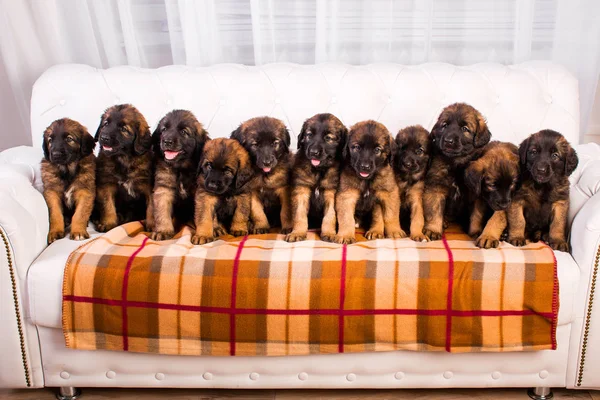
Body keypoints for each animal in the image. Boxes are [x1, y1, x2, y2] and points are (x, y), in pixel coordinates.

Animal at [94, 104, 155, 233]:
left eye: (123, 129)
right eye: (105, 124)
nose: (104, 137)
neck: (123, 159)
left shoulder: (149, 187)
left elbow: (152, 207)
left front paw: (153, 225)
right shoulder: (106, 184)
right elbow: (107, 205)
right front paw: (108, 223)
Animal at [150, 109, 209, 241]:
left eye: (183, 132)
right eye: (164, 129)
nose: (166, 141)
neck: (181, 168)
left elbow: (203, 213)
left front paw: (203, 233)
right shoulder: (164, 189)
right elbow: (162, 212)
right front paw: (163, 231)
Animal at [284, 114, 346, 242]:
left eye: (328, 138)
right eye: (309, 135)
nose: (313, 152)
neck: (318, 171)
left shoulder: (330, 192)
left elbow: (330, 215)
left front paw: (329, 233)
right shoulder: (301, 189)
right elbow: (299, 214)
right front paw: (297, 232)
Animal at [422, 104, 492, 241]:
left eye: (465, 129)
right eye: (444, 125)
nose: (448, 140)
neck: (456, 164)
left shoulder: (477, 195)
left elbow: (477, 215)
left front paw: (476, 231)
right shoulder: (436, 188)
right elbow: (434, 210)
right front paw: (433, 229)